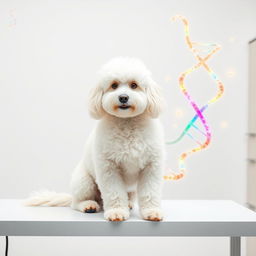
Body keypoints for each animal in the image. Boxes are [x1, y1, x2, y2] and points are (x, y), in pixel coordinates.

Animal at [25, 57, 166, 221]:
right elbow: (114, 193)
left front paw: (152, 211)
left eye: (134, 85)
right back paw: (88, 205)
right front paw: (116, 212)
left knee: (128, 196)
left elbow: (150, 193)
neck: (127, 123)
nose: (123, 97)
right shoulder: (109, 168)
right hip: (84, 182)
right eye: (114, 85)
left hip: (129, 189)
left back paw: (129, 204)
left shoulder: (151, 167)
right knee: (76, 202)